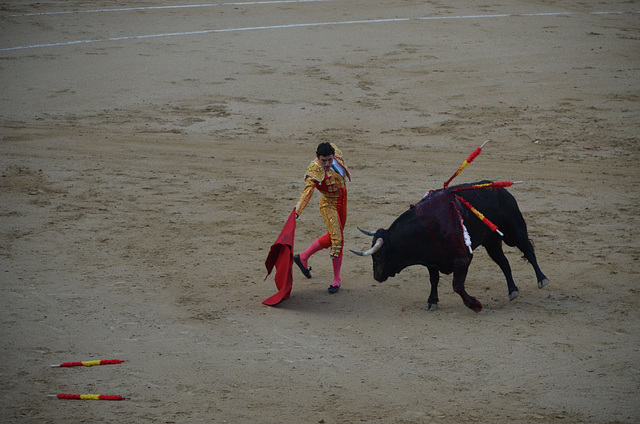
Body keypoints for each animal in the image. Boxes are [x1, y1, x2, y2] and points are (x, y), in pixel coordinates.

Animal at [352, 181, 548, 314]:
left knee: (528, 250)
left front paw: (475, 305)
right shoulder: (431, 261)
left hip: (514, 230)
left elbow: (457, 285)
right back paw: (512, 290)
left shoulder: (463, 260)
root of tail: (501, 189)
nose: (376, 277)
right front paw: (431, 301)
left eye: (377, 256)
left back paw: (542, 279)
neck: (426, 225)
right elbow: (434, 280)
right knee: (504, 262)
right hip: (491, 242)